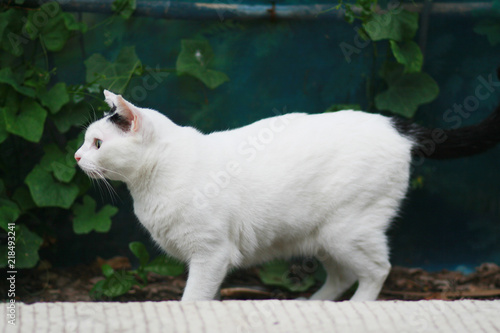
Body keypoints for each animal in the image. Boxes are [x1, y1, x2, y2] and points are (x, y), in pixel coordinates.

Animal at [75, 89, 500, 300]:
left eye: (97, 144)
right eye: (86, 141)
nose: (77, 156)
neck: (151, 185)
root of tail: (395, 125)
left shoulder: (212, 255)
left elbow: (193, 299)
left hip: (348, 231)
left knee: (378, 271)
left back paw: (354, 311)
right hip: (323, 236)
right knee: (344, 276)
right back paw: (312, 308)